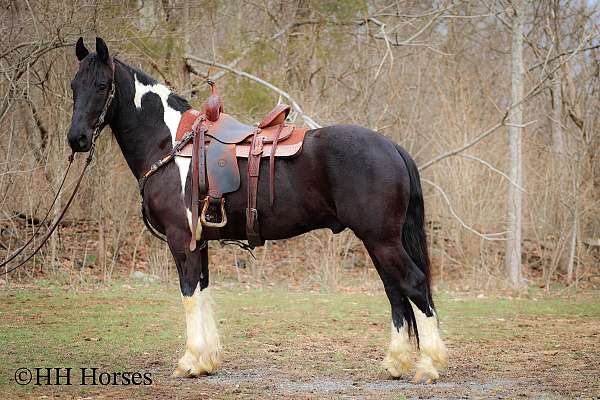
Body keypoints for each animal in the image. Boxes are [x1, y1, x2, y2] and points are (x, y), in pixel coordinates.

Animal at [68, 38, 448, 384]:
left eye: (101, 85)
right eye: (74, 86)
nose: (77, 139)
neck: (171, 145)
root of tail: (392, 146)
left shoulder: (181, 240)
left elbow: (189, 294)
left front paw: (190, 361)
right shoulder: (199, 242)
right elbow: (204, 292)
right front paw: (208, 361)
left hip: (382, 240)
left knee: (413, 284)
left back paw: (428, 366)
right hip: (377, 241)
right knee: (395, 291)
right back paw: (396, 363)